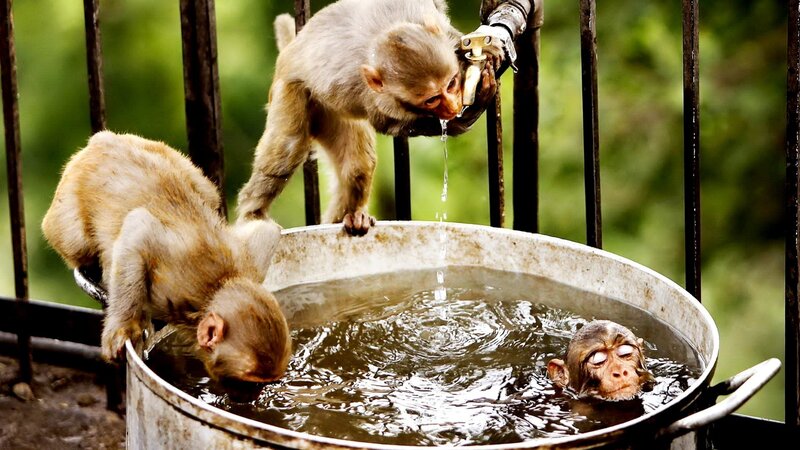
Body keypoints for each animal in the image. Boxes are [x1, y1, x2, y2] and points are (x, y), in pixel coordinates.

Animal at [41, 131, 292, 383]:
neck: (216, 287)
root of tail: (103, 140)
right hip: (68, 207)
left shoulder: (249, 263)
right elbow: (139, 227)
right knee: (78, 243)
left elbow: (267, 230)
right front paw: (123, 327)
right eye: (249, 381)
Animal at [236, 0, 504, 236]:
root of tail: (291, 50)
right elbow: (389, 124)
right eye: (432, 100)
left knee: (357, 167)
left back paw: (350, 217)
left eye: (451, 83)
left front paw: (482, 52)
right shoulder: (378, 99)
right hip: (294, 91)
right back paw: (252, 214)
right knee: (287, 148)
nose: (452, 106)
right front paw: (466, 115)